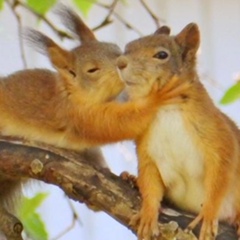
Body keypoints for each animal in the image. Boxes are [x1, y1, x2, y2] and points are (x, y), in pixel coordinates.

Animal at [116, 21, 240, 239]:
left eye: (162, 55)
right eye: (127, 47)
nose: (120, 62)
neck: (165, 108)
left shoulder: (219, 136)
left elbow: (221, 173)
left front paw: (208, 213)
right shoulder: (146, 149)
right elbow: (150, 182)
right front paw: (148, 212)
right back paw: (131, 179)